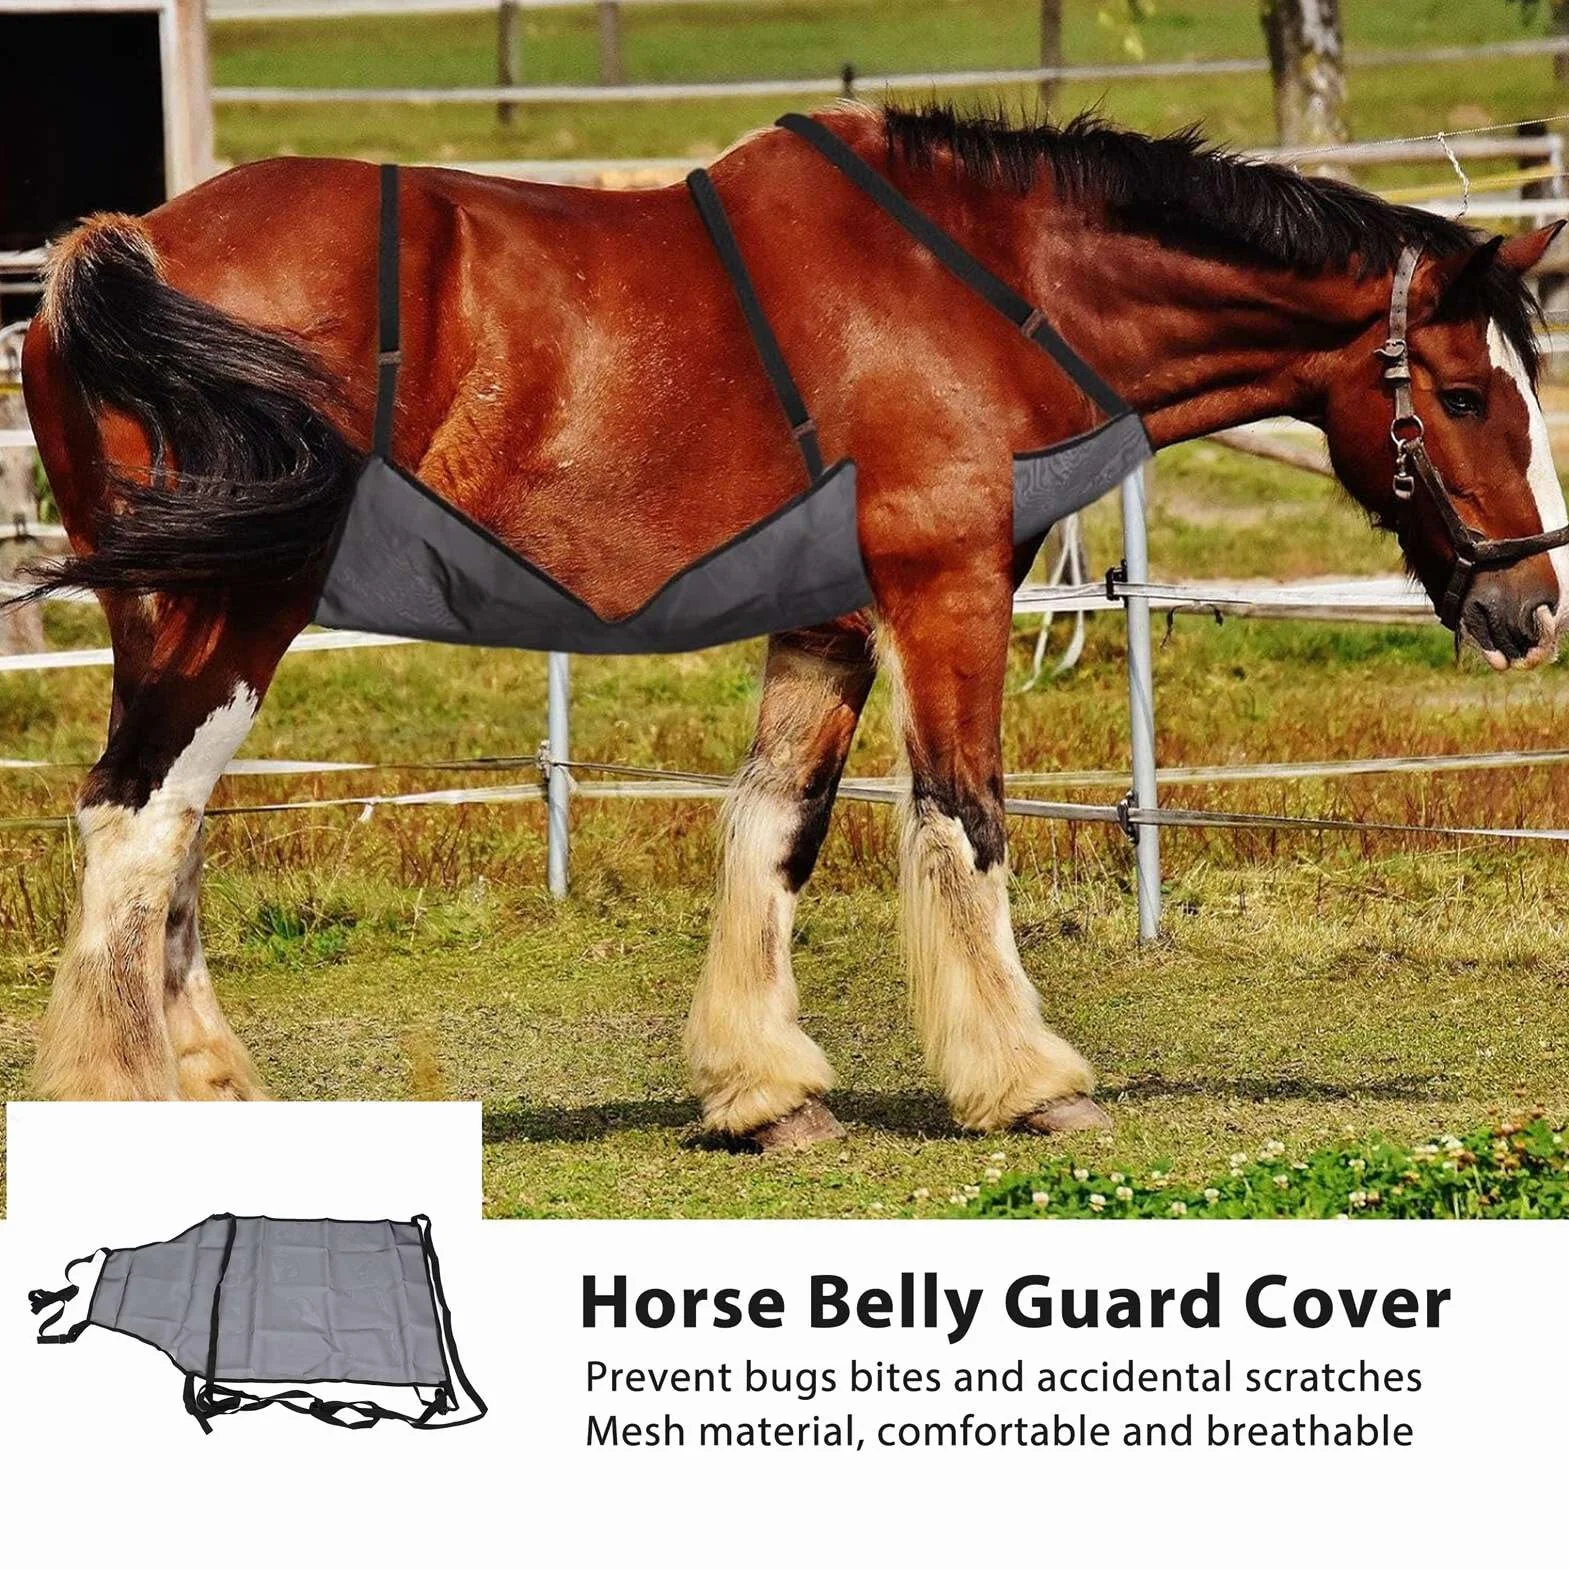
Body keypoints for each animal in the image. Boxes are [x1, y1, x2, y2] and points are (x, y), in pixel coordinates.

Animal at [17, 102, 1567, 1147]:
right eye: (1467, 395)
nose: (1532, 603)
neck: (975, 288)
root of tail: (126, 246)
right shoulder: (947, 590)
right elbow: (965, 814)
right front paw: (1028, 1080)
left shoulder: (829, 619)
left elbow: (776, 823)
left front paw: (762, 1090)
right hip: (237, 610)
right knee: (140, 822)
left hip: (167, 615)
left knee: (162, 832)